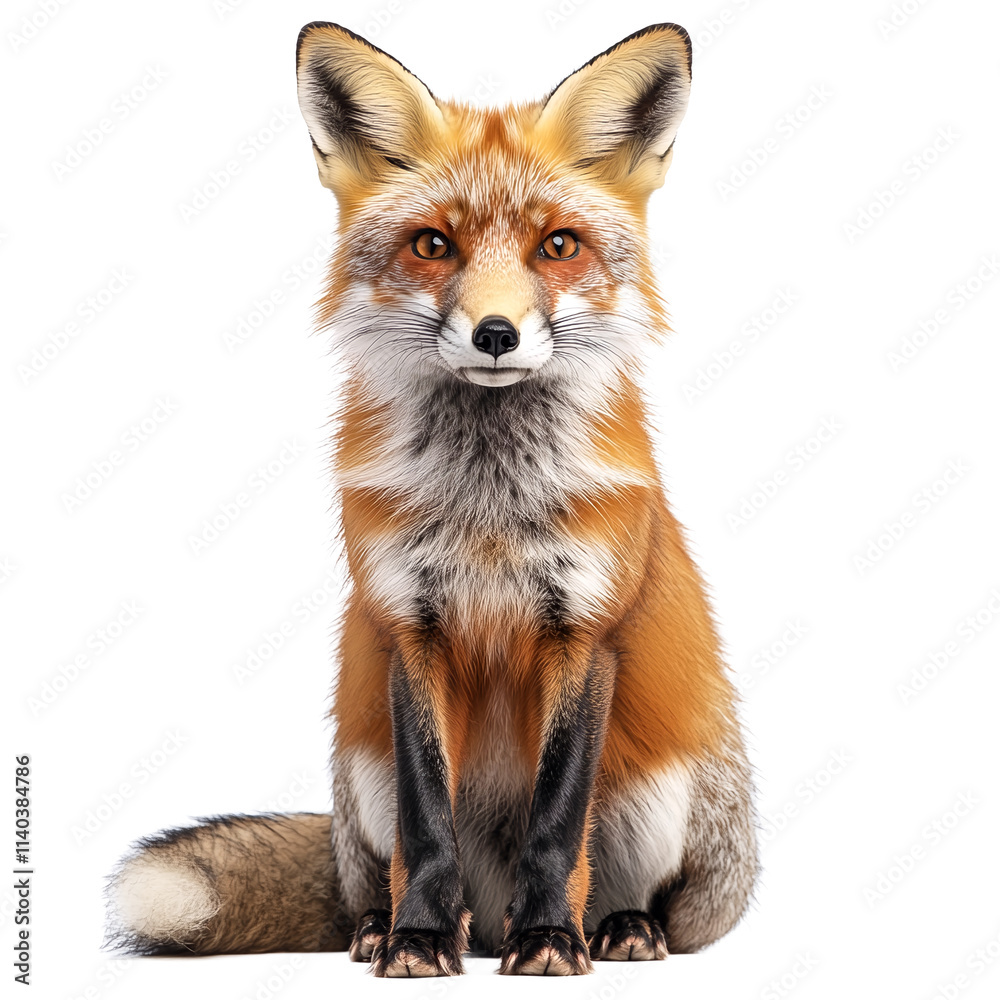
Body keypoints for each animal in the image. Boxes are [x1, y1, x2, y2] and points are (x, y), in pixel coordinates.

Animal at [106, 21, 758, 977]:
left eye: (558, 246)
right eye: (432, 246)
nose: (496, 333)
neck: (488, 506)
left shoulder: (583, 629)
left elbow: (558, 823)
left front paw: (550, 939)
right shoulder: (408, 622)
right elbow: (428, 822)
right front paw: (415, 937)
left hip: (667, 798)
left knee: (642, 895)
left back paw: (619, 928)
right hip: (361, 778)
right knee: (388, 877)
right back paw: (393, 925)